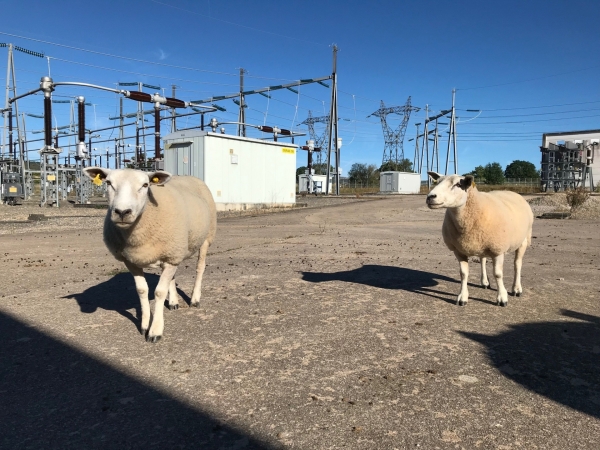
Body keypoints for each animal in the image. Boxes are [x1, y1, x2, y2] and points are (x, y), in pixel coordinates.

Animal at [82, 168, 216, 342]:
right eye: (108, 183)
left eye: (145, 185)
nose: (122, 212)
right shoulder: (132, 260)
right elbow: (142, 290)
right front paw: (145, 325)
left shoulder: (170, 258)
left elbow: (159, 292)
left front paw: (155, 331)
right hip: (173, 251)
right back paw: (173, 302)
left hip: (206, 237)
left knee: (200, 268)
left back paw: (195, 299)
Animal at [426, 172, 536, 306]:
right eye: (437, 182)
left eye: (458, 184)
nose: (430, 197)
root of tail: (512, 192)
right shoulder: (459, 250)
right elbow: (463, 274)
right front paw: (462, 297)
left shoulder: (497, 249)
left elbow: (498, 274)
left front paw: (502, 298)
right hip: (482, 242)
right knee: (483, 260)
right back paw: (485, 282)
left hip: (523, 240)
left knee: (517, 264)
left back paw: (516, 289)